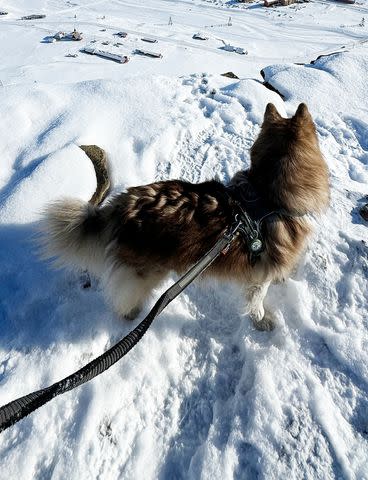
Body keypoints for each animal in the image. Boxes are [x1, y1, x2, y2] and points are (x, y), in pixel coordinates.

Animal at [38, 103, 330, 330]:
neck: (267, 194)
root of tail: (123, 204)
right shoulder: (257, 277)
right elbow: (256, 300)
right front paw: (261, 321)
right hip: (146, 272)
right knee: (124, 297)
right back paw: (133, 315)